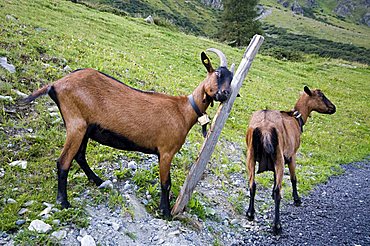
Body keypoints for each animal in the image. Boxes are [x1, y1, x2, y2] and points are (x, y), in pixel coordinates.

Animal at [23, 48, 233, 217]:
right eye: (216, 74)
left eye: (231, 79)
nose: (225, 93)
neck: (183, 110)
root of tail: (56, 84)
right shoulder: (166, 151)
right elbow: (166, 183)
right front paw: (165, 212)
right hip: (76, 124)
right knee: (64, 161)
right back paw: (63, 202)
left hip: (85, 128)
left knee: (79, 156)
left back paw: (97, 180)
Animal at [246, 86, 336, 234]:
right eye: (321, 96)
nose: (333, 108)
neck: (295, 119)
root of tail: (264, 128)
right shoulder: (291, 155)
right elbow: (294, 178)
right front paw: (297, 199)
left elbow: (275, 177)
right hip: (278, 156)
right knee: (278, 191)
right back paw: (277, 226)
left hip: (252, 156)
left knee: (252, 184)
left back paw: (250, 213)